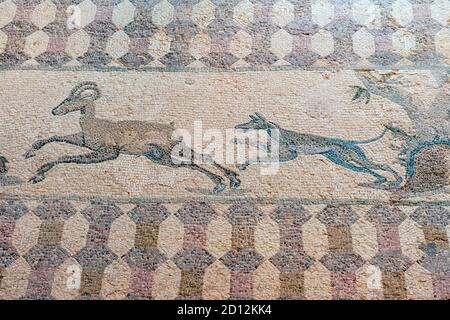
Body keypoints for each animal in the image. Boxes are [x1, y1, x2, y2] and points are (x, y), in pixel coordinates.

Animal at [23, 81, 243, 194]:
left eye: (71, 98)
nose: (54, 111)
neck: (94, 124)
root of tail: (171, 127)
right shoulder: (83, 141)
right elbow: (55, 137)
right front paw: (30, 153)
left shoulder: (109, 153)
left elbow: (67, 157)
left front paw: (38, 174)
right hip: (159, 157)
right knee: (192, 162)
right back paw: (228, 181)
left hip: (171, 150)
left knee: (198, 159)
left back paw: (224, 183)